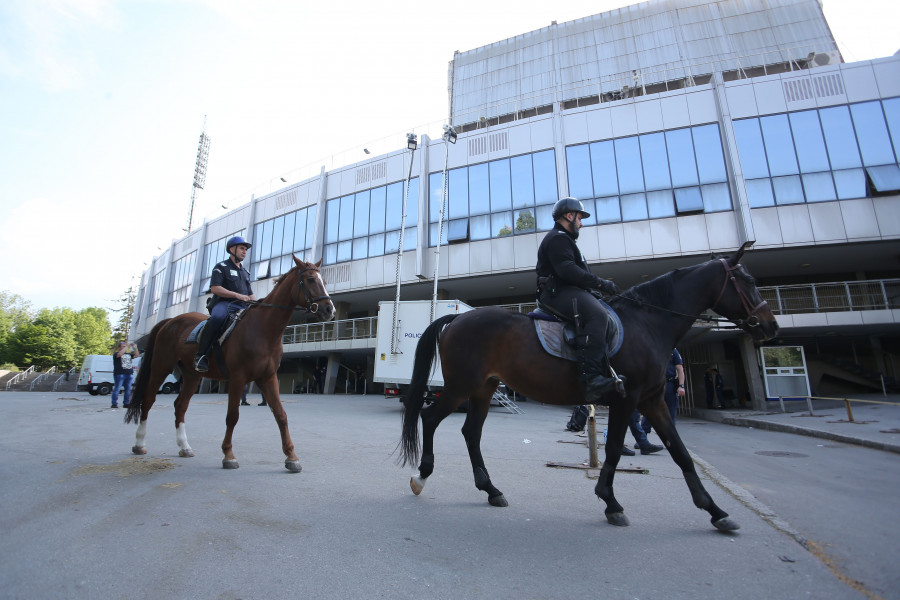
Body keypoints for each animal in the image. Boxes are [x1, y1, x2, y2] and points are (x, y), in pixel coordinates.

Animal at [125, 255, 334, 472]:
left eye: (324, 281)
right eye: (310, 280)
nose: (329, 310)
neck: (263, 329)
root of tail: (171, 321)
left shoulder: (267, 378)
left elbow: (281, 415)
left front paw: (291, 457)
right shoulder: (237, 378)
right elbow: (232, 416)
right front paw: (228, 455)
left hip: (192, 375)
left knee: (180, 406)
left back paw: (184, 446)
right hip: (160, 367)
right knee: (148, 400)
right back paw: (139, 443)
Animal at [398, 241, 776, 532]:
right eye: (748, 281)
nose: (770, 326)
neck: (647, 323)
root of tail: (458, 317)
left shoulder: (653, 401)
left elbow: (680, 453)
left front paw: (716, 511)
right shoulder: (627, 399)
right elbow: (614, 449)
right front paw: (611, 503)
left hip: (483, 389)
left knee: (470, 432)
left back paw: (490, 489)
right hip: (462, 387)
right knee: (430, 418)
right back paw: (422, 475)